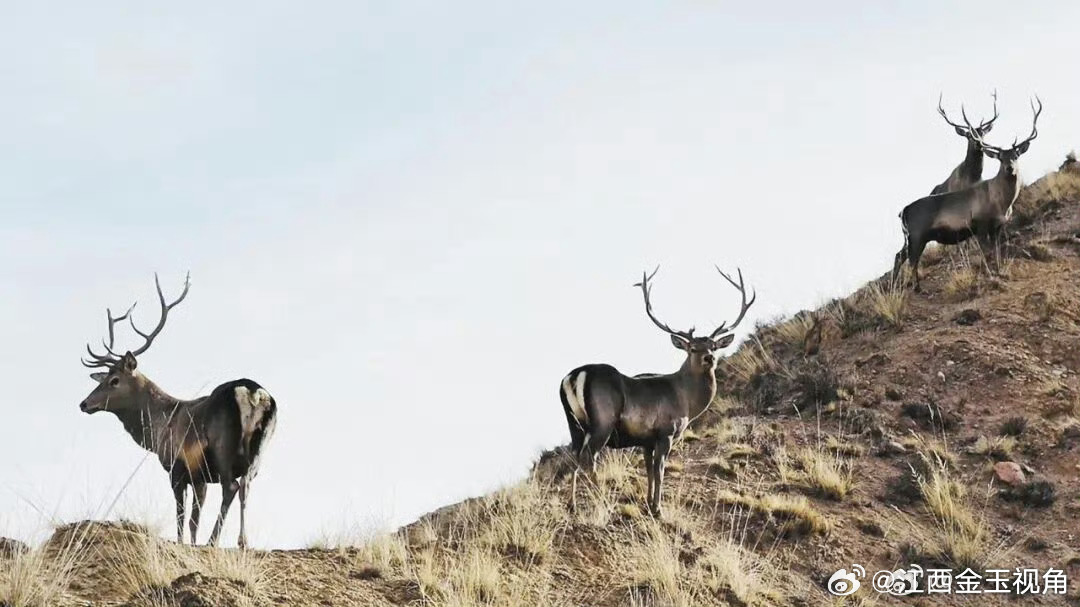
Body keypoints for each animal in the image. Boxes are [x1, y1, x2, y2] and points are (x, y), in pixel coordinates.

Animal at [78, 273, 277, 549]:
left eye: (114, 380)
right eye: (103, 378)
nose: (84, 403)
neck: (159, 426)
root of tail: (252, 392)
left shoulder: (178, 467)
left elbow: (183, 516)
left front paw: (184, 542)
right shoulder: (200, 476)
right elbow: (194, 517)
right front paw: (193, 542)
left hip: (223, 445)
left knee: (232, 487)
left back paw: (214, 541)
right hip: (260, 448)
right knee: (245, 485)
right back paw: (242, 541)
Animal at [559, 265, 754, 517]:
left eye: (713, 345)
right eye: (692, 348)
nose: (709, 358)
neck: (687, 402)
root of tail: (575, 375)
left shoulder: (646, 440)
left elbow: (649, 470)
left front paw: (648, 503)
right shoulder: (666, 431)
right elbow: (660, 470)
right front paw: (657, 508)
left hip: (574, 423)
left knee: (574, 459)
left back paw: (572, 505)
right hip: (603, 420)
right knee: (588, 458)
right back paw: (603, 503)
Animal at [892, 96, 1042, 291]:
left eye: (1015, 155)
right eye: (1000, 158)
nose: (1010, 168)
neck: (1002, 203)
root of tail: (903, 211)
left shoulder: (998, 226)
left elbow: (997, 251)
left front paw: (1000, 271)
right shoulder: (980, 224)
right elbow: (986, 253)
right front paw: (989, 274)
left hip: (911, 237)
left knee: (899, 256)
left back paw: (895, 286)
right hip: (917, 233)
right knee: (912, 259)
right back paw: (916, 287)